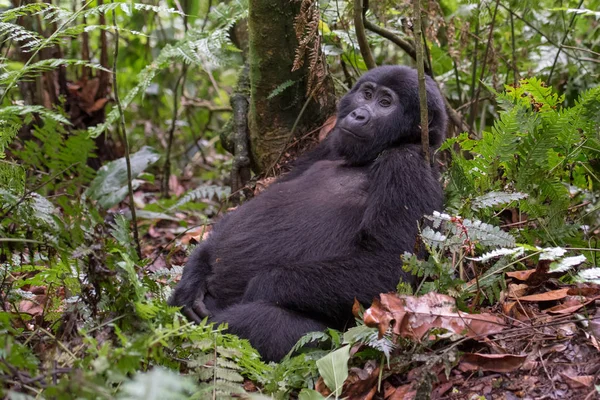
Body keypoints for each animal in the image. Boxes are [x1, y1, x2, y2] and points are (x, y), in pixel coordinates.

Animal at [169, 66, 446, 362]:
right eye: (367, 94)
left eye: (386, 103)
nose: (358, 115)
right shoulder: (329, 142)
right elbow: (240, 214)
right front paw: (194, 274)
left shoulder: (407, 165)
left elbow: (387, 266)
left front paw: (262, 286)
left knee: (258, 324)